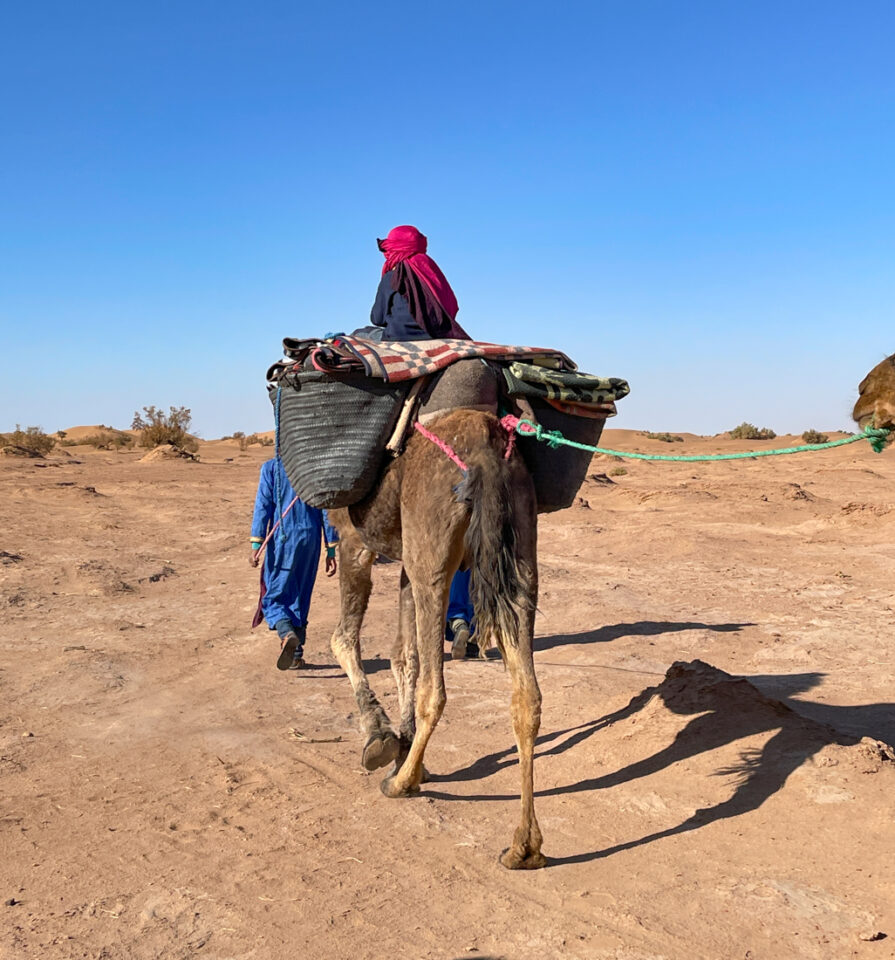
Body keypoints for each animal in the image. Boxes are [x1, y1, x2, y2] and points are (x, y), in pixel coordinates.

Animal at [326, 406, 544, 872]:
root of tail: (486, 449)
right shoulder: (405, 562)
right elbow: (402, 654)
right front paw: (405, 747)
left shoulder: (354, 540)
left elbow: (344, 639)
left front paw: (381, 739)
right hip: (519, 551)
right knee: (528, 696)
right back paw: (524, 847)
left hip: (435, 554)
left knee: (436, 690)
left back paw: (402, 784)